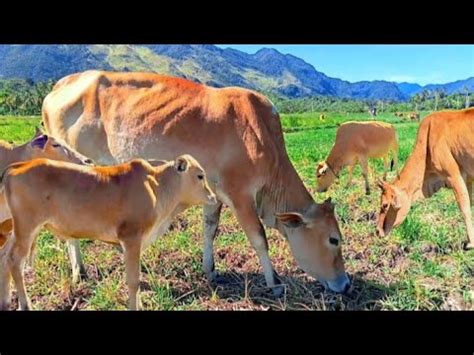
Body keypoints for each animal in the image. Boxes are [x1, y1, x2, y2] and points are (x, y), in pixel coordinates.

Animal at [0, 154, 218, 310]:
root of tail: (17, 166)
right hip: (27, 228)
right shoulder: (131, 239)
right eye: (200, 176)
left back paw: (6, 302)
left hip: (16, 230)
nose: (213, 197)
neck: (157, 187)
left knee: (4, 257)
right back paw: (25, 305)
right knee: (15, 261)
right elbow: (133, 280)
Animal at [41, 69, 352, 294]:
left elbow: (210, 229)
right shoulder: (240, 194)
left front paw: (210, 270)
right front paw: (274, 282)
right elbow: (259, 238)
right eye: (333, 239)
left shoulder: (213, 194)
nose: (346, 284)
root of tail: (58, 86)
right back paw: (79, 272)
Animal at [378, 108, 474, 250]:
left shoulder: (454, 176)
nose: (377, 231)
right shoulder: (468, 178)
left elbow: (465, 209)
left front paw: (471, 243)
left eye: (385, 205)